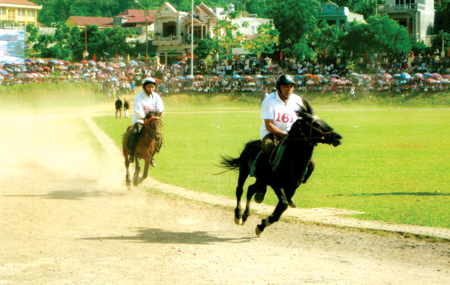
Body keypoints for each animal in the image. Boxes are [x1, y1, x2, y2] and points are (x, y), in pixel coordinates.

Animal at [221, 106, 342, 235]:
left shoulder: (290, 188)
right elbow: (283, 205)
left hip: (260, 180)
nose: (338, 137)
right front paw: (263, 224)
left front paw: (263, 224)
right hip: (244, 170)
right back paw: (238, 215)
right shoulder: (277, 185)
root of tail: (250, 143)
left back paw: (246, 214)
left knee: (251, 189)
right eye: (316, 124)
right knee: (240, 190)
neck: (291, 159)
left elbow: (281, 207)